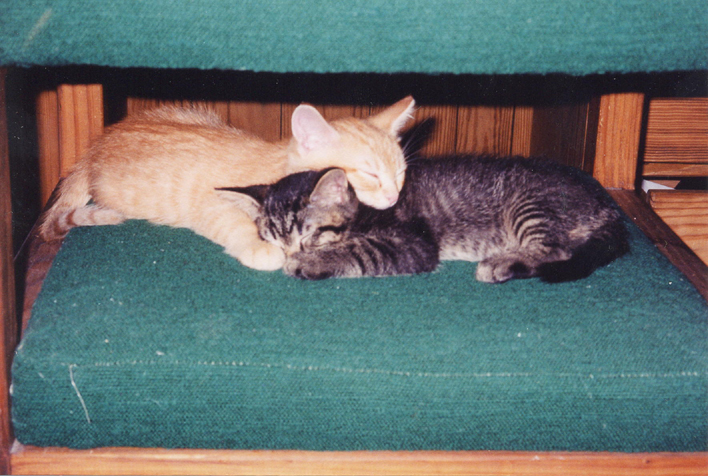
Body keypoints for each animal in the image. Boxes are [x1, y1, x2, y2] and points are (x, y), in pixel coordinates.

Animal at [38, 97, 416, 270]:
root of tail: (94, 148)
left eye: (400, 174)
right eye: (370, 174)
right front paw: (262, 248)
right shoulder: (209, 203)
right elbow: (235, 223)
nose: (394, 195)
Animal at [224, 155, 630, 282]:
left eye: (309, 236)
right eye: (274, 242)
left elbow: (360, 249)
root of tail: (606, 204)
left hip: (530, 203)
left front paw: (312, 261)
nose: (292, 253)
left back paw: (503, 263)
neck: (363, 209)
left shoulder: (413, 242)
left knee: (556, 251)